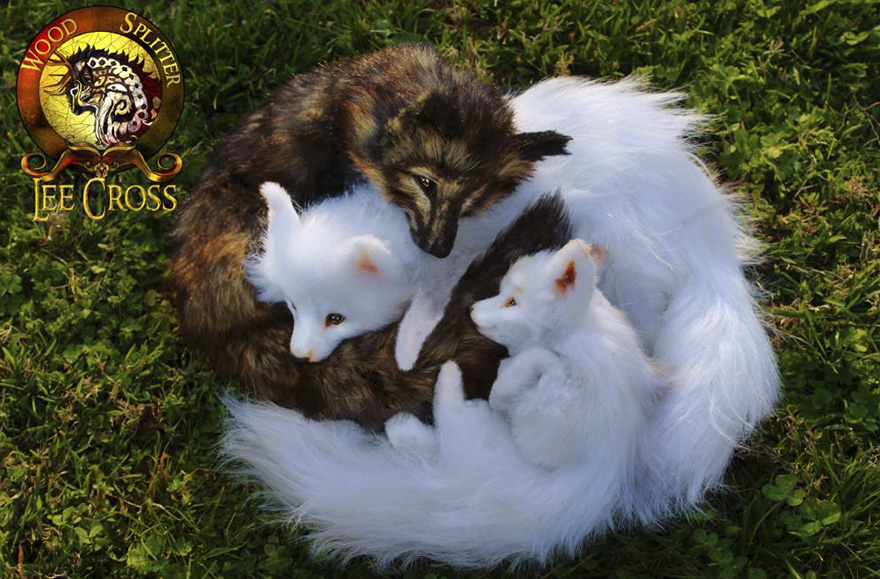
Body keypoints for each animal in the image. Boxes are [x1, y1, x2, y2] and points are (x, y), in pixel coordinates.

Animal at [222, 238, 661, 567]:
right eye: (502, 293)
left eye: (512, 302)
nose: (473, 309)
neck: (579, 331)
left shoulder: (559, 425)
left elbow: (541, 363)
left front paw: (506, 384)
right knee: (436, 442)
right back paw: (407, 426)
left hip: (475, 439)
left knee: (445, 424)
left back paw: (437, 391)